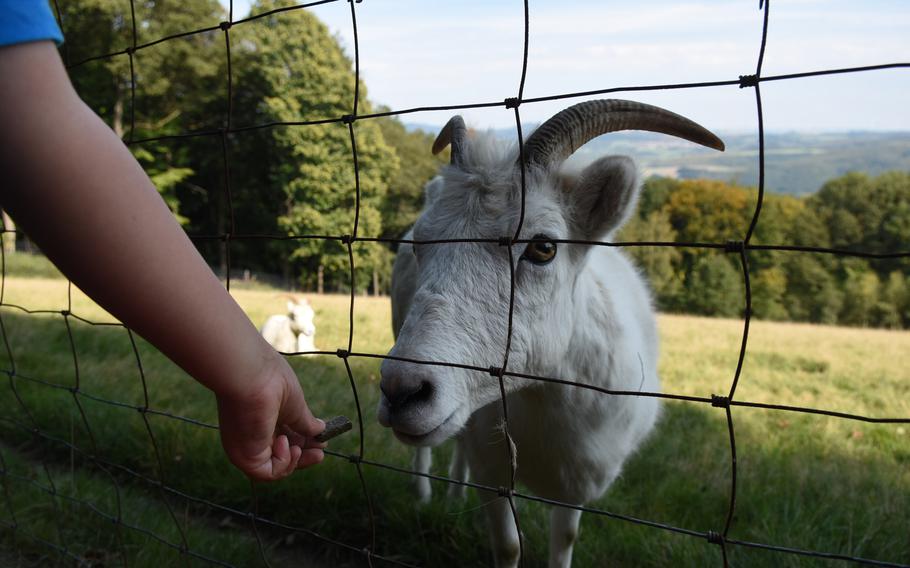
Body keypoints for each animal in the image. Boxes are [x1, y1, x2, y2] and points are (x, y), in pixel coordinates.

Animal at [378, 100, 728, 564]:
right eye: (421, 241)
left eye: (544, 248)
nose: (402, 390)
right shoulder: (494, 472)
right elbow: (508, 545)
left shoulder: (576, 482)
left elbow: (564, 540)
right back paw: (424, 495)